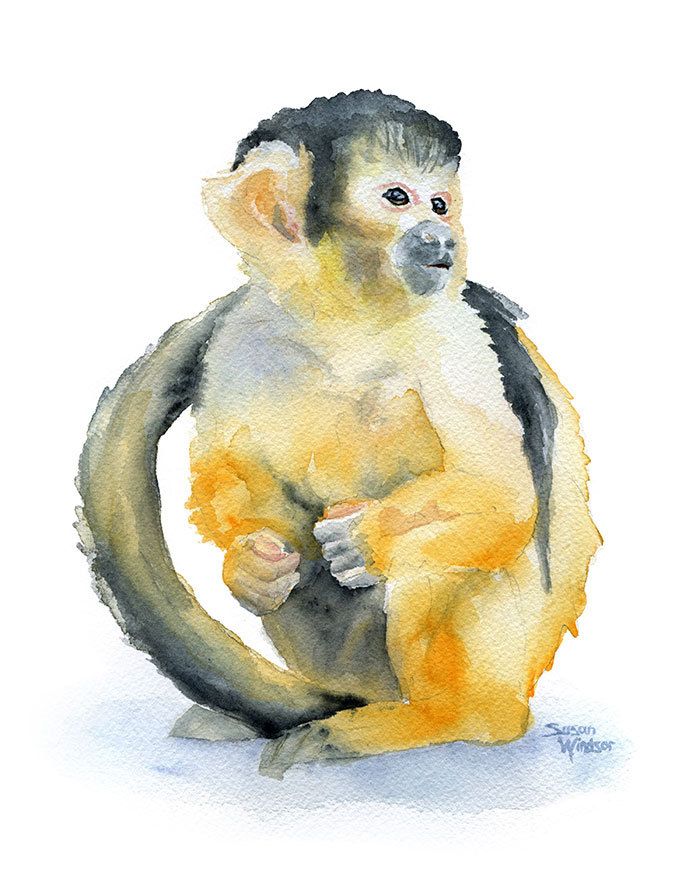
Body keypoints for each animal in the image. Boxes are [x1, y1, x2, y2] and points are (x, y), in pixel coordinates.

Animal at [77, 90, 601, 778]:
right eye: (398, 198)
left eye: (439, 203)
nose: (442, 237)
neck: (349, 316)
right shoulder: (246, 329)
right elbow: (229, 463)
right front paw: (250, 564)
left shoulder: (454, 334)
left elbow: (501, 491)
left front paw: (362, 537)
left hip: (507, 654)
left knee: (429, 573)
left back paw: (441, 719)